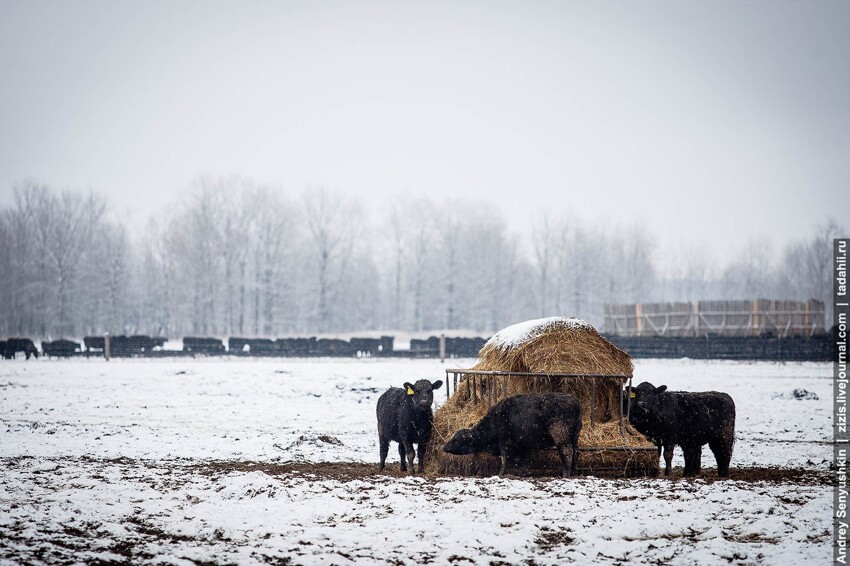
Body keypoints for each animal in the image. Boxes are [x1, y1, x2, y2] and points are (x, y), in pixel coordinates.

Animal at [440, 394, 580, 480]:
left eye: (456, 440)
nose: (444, 447)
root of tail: (574, 401)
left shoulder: (504, 442)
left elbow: (505, 459)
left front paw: (501, 474)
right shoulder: (522, 445)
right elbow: (520, 460)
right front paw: (523, 473)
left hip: (561, 435)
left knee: (567, 451)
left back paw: (566, 473)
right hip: (574, 436)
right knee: (576, 451)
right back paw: (573, 471)